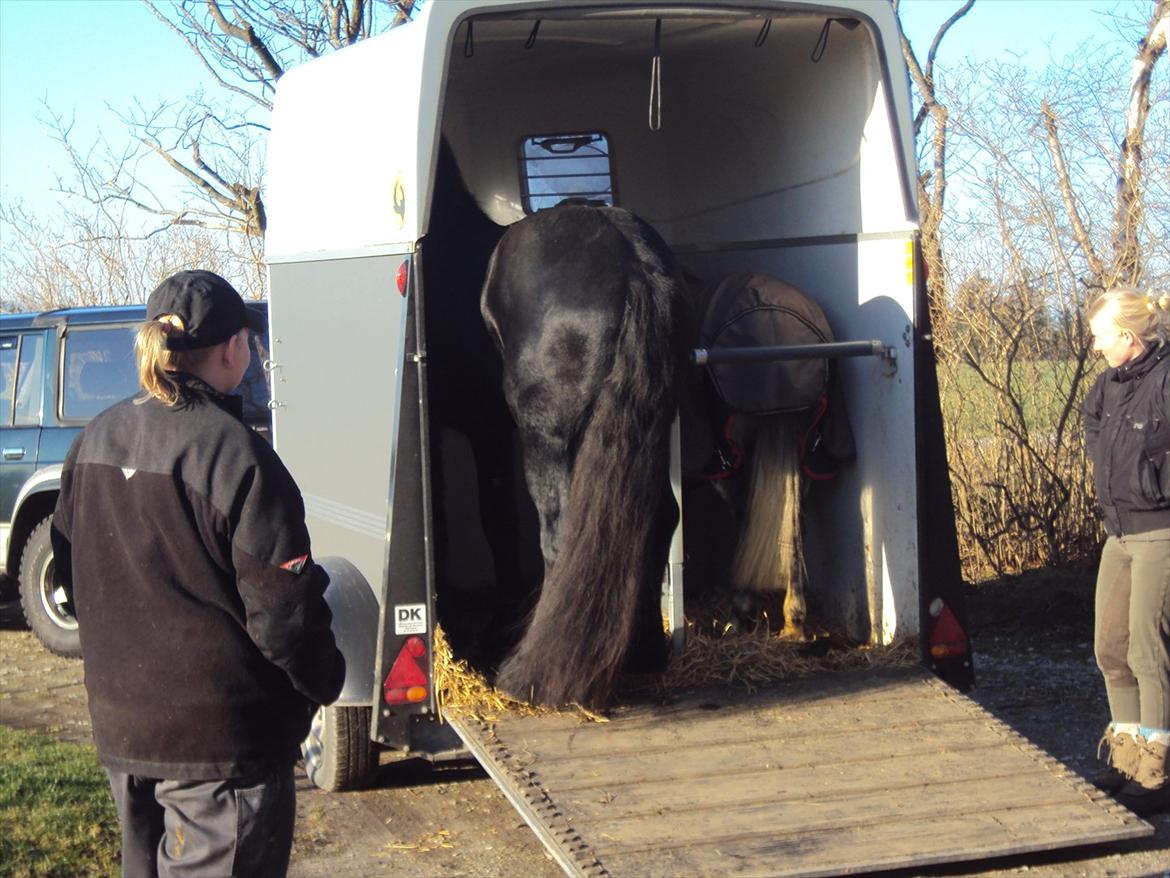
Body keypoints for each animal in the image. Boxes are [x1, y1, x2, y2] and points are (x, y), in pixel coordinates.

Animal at [479, 206, 687, 707]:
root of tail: (632, 268)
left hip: (547, 437)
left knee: (560, 535)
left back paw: (535, 674)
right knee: (659, 520)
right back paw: (643, 654)